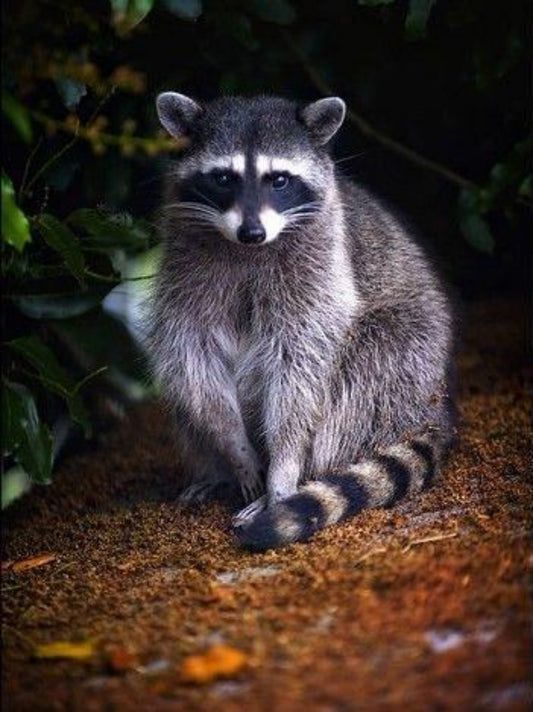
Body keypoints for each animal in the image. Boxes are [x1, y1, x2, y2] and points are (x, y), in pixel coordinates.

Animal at [147, 93, 456, 551]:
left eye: (279, 179)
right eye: (223, 178)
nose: (252, 232)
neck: (248, 249)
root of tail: (434, 409)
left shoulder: (320, 268)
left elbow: (301, 369)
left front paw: (285, 470)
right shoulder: (185, 263)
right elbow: (193, 355)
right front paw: (236, 451)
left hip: (410, 359)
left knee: (368, 364)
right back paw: (216, 471)